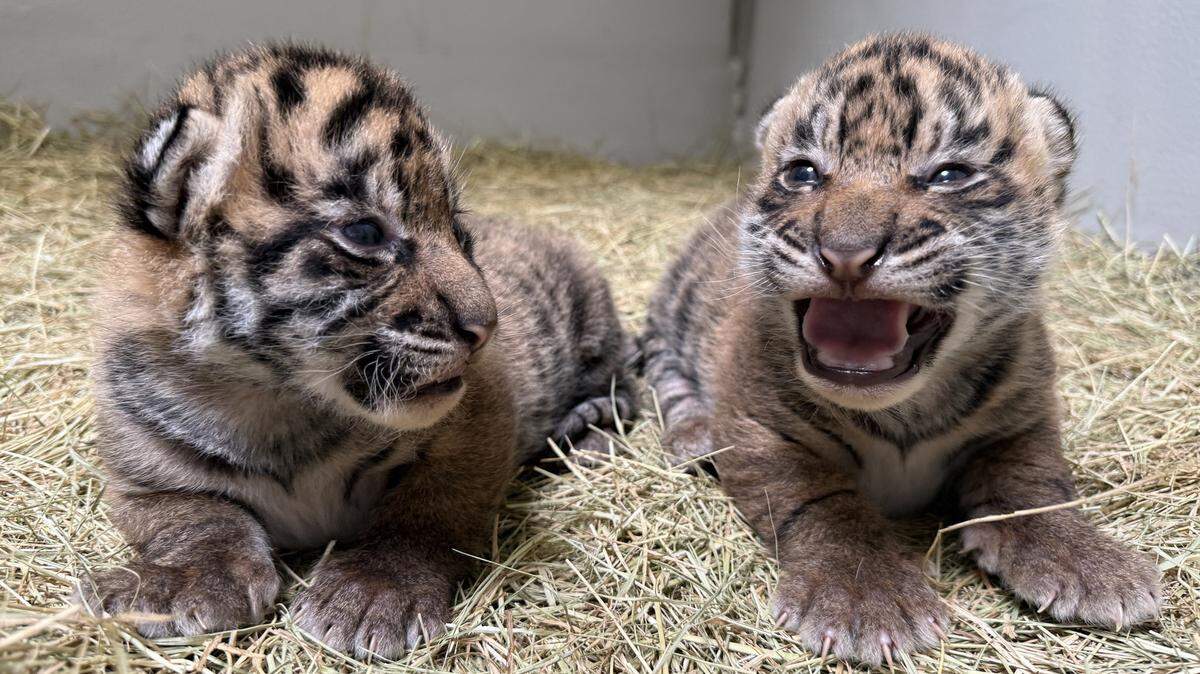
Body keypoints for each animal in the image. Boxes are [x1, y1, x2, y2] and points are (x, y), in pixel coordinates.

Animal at [78, 43, 637, 659]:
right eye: (366, 234)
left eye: (455, 227)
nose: (487, 327)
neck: (275, 406)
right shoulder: (141, 479)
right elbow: (198, 518)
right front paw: (180, 584)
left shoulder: (482, 416)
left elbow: (427, 507)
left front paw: (371, 595)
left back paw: (587, 434)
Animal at [642, 33, 1160, 665]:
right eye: (803, 173)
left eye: (948, 175)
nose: (845, 253)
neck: (902, 409)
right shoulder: (759, 426)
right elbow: (826, 502)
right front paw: (866, 599)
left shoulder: (1023, 421)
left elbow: (1033, 485)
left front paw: (1086, 562)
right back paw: (693, 437)